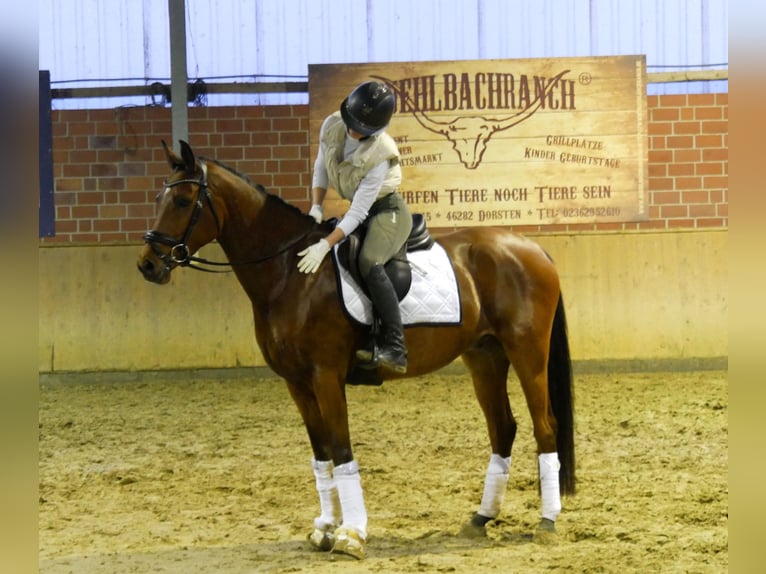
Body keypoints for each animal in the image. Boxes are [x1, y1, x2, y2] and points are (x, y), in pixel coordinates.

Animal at [136, 141, 576, 564]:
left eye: (182, 201)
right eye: (158, 197)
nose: (147, 265)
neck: (291, 274)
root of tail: (532, 248)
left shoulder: (325, 376)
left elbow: (342, 450)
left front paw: (351, 535)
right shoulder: (297, 384)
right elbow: (321, 454)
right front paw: (325, 528)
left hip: (527, 355)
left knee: (545, 427)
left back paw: (547, 522)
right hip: (484, 359)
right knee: (503, 428)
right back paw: (482, 517)